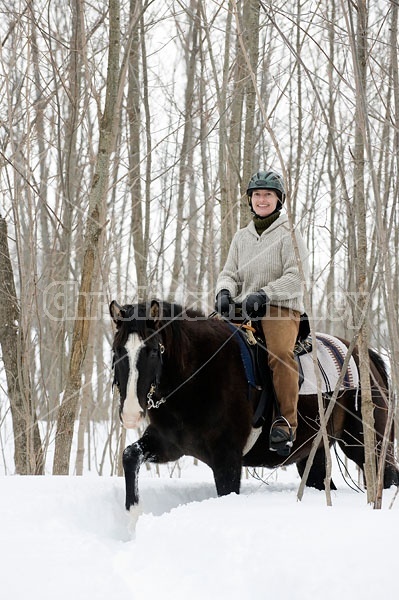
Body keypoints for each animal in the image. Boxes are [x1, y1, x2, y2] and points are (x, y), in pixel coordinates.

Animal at [110, 300, 399, 510]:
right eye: (116, 351)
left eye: (152, 351)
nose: (131, 413)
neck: (198, 375)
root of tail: (366, 357)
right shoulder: (169, 445)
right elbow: (130, 456)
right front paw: (132, 515)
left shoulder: (227, 459)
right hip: (313, 453)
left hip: (365, 445)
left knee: (386, 477)